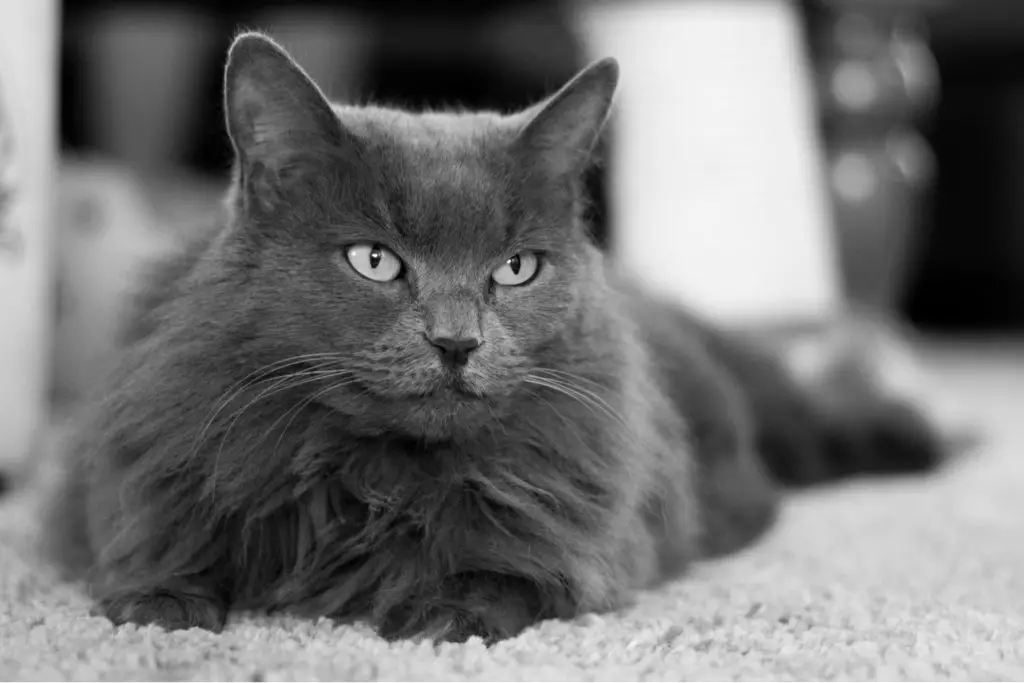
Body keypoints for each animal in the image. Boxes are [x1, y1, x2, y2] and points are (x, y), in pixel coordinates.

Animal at [41, 30, 950, 643]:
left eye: (514, 269)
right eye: (374, 259)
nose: (457, 342)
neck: (372, 476)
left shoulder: (590, 540)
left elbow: (511, 570)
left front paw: (441, 609)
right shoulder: (139, 467)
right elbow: (149, 537)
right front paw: (161, 603)